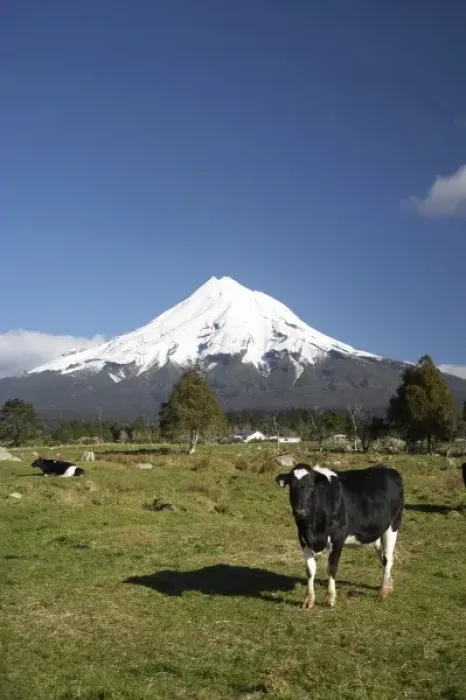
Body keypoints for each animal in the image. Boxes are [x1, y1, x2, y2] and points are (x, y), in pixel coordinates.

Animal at [275, 463, 404, 608]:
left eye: (311, 486)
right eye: (292, 486)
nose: (300, 511)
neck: (312, 529)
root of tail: (388, 468)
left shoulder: (337, 539)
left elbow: (331, 568)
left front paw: (330, 598)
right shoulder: (303, 539)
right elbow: (310, 570)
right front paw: (308, 600)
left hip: (393, 525)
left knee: (388, 558)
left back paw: (383, 591)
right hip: (378, 531)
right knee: (382, 555)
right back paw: (389, 584)